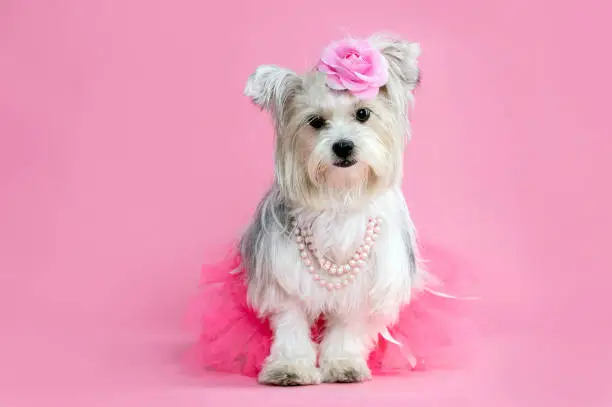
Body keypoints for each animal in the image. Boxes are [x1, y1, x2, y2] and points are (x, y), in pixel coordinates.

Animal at [240, 33, 426, 388]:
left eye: (363, 114)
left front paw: (343, 363)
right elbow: (291, 325)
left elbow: (348, 328)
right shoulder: (284, 276)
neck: (339, 197)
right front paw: (290, 366)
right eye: (315, 122)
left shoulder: (365, 285)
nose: (342, 146)